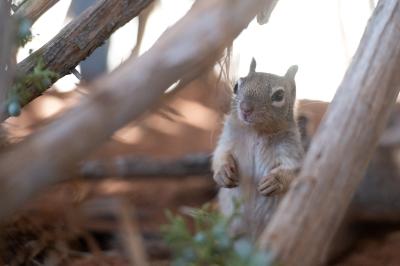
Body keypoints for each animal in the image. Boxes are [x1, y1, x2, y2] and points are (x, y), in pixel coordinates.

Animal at [212, 58, 304, 239]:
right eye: (236, 86)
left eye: (279, 95)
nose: (245, 108)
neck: (256, 132)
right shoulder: (228, 139)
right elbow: (220, 155)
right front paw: (223, 173)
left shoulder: (290, 147)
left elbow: (292, 170)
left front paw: (275, 181)